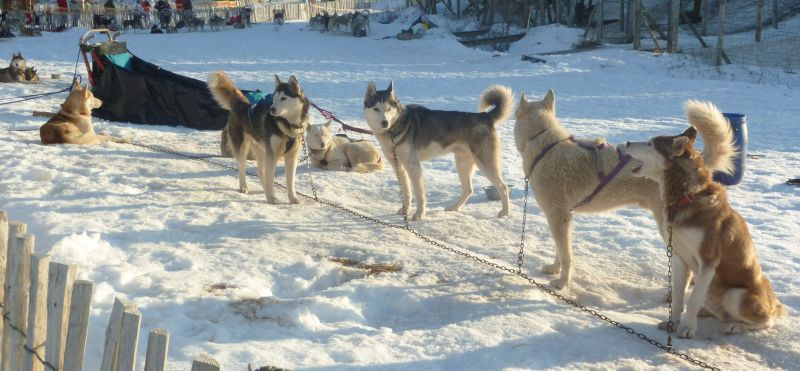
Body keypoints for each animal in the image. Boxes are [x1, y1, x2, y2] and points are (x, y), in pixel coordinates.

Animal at [208, 70, 310, 203]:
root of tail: (242, 104)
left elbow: (290, 181)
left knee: (260, 170)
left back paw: (264, 188)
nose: (272, 110)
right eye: (274, 99)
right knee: (242, 168)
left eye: (283, 98)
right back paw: (244, 187)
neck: (288, 125)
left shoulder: (292, 156)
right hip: (243, 147)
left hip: (261, 149)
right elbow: (270, 178)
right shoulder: (272, 155)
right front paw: (271, 198)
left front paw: (292, 198)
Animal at [364, 81, 512, 221]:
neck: (394, 128)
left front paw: (419, 214)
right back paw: (454, 207)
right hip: (462, 164)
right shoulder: (399, 166)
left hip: (486, 164)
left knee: (503, 187)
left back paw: (505, 212)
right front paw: (405, 210)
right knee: (468, 190)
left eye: (388, 109)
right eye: (376, 109)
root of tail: (485, 116)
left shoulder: (413, 166)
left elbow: (419, 194)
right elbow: (406, 192)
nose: (385, 123)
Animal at [512, 91, 736, 290]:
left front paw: (562, 283)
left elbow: (566, 255)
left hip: (668, 229)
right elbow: (560, 250)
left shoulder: (558, 216)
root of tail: (697, 161)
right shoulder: (564, 217)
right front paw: (555, 269)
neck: (544, 144)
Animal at [624, 100, 780, 338]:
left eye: (650, 144)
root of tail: (774, 304)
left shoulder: (708, 261)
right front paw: (673, 323)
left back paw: (735, 325)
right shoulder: (679, 257)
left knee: (764, 321)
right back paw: (707, 312)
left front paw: (688, 328)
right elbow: (678, 299)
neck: (686, 198)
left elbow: (692, 299)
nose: (627, 142)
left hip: (735, 295)